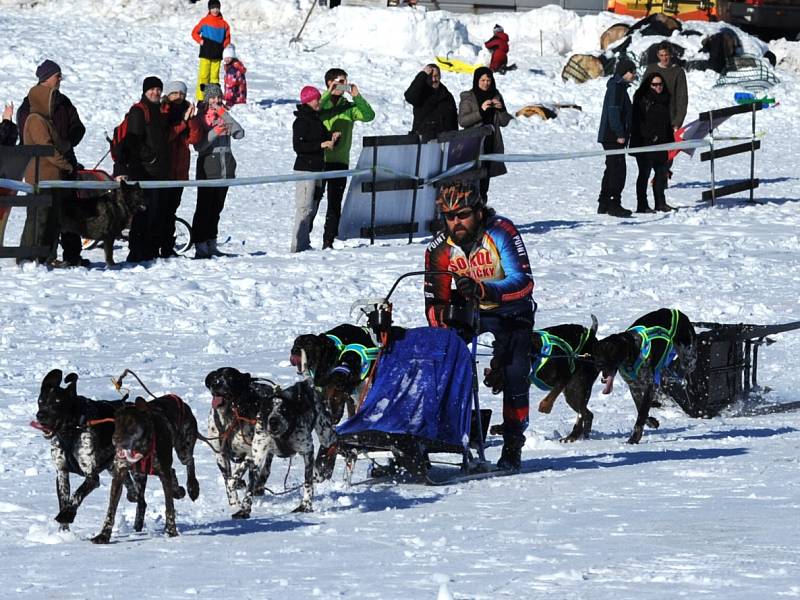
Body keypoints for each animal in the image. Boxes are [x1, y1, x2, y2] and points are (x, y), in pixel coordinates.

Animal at [31, 370, 136, 528]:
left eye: (57, 402)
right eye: (40, 401)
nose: (40, 415)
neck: (70, 433)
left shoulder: (92, 476)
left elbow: (77, 495)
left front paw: (67, 514)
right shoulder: (62, 472)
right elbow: (64, 500)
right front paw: (63, 531)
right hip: (113, 467)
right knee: (129, 485)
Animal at [92, 394, 200, 544]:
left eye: (131, 423)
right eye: (116, 423)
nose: (115, 439)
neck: (141, 448)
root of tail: (179, 400)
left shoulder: (163, 474)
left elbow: (169, 506)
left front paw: (172, 532)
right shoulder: (120, 474)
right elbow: (111, 509)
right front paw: (104, 535)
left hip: (183, 449)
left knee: (190, 461)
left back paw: (192, 488)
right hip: (139, 475)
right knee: (143, 501)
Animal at [205, 368, 280, 516]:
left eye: (230, 377)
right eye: (215, 377)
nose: (216, 384)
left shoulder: (251, 454)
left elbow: (238, 475)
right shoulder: (221, 455)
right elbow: (228, 479)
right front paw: (233, 502)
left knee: (264, 470)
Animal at [250, 382, 338, 512]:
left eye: (284, 409)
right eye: (268, 409)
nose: (273, 421)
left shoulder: (307, 451)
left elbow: (308, 482)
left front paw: (305, 504)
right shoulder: (259, 453)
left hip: (325, 435)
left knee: (336, 440)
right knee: (266, 468)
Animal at [592, 308, 696, 442]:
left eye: (612, 350)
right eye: (597, 352)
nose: (599, 364)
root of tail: (677, 311)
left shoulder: (648, 385)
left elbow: (642, 411)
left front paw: (634, 437)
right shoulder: (634, 387)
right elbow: (640, 407)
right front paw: (651, 422)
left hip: (689, 360)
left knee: (683, 374)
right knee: (665, 374)